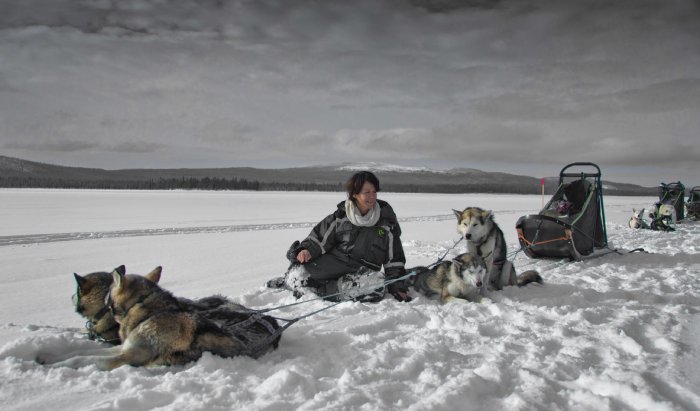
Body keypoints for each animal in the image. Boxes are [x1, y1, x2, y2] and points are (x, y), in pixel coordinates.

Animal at [42, 268, 280, 370]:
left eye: (109, 292)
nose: (70, 297)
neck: (150, 314)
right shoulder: (123, 347)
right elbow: (82, 352)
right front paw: (49, 356)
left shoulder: (129, 356)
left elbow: (86, 359)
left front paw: (61, 364)